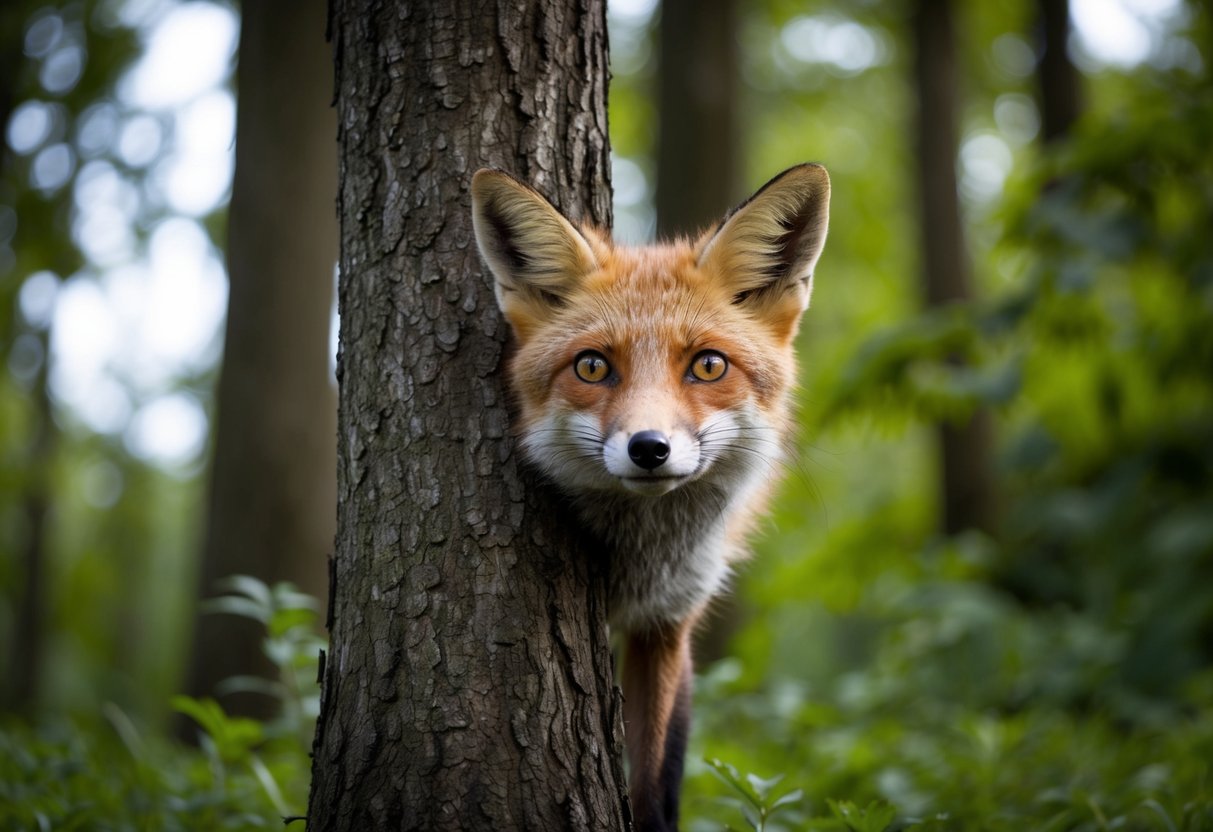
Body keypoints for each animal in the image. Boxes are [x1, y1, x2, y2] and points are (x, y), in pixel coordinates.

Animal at [470, 163, 830, 832]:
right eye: (591, 367)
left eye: (708, 365)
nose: (650, 448)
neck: (642, 563)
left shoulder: (668, 626)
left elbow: (659, 782)